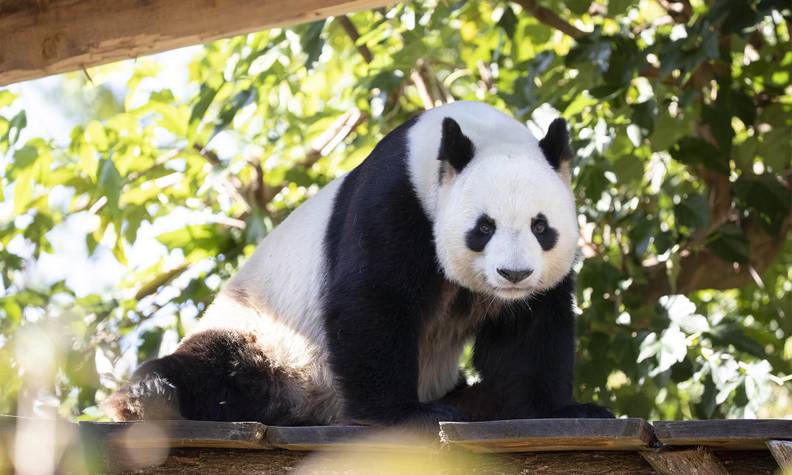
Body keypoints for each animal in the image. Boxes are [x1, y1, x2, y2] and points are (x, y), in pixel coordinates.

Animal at [106, 100, 612, 428]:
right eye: (483, 227)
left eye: (541, 227)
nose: (514, 275)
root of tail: (311, 408)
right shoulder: (397, 200)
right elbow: (372, 300)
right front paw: (406, 415)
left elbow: (530, 333)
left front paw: (565, 409)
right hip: (268, 338)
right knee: (216, 367)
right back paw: (150, 396)